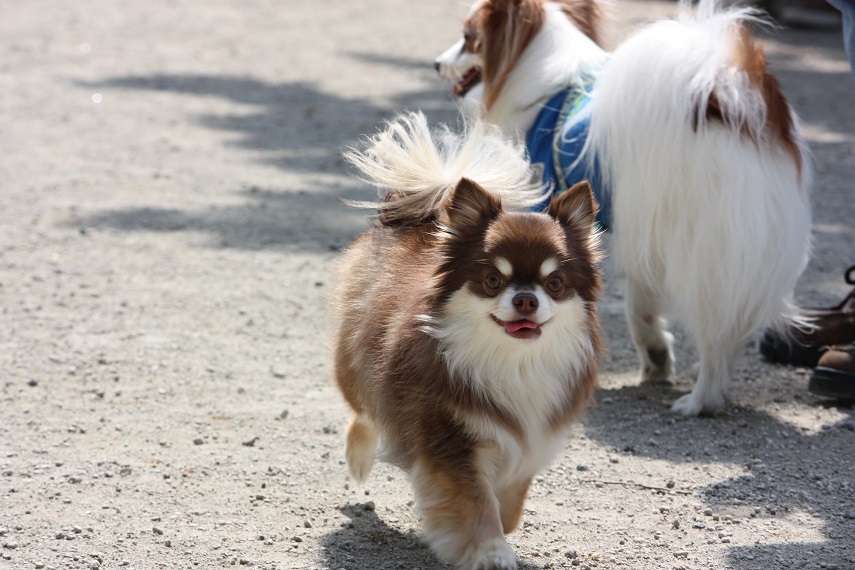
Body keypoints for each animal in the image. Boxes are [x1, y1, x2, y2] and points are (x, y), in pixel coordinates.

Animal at [332, 112, 600, 568]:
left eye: (555, 283)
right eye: (493, 280)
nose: (526, 299)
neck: (513, 360)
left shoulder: (529, 437)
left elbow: (511, 500)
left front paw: (502, 524)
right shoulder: (451, 437)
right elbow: (475, 501)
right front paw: (491, 551)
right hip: (356, 362)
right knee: (363, 411)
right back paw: (359, 460)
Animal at [438, 1, 812, 418]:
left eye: (468, 36)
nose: (437, 64)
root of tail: (730, 99)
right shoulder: (639, 227)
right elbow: (640, 303)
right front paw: (656, 358)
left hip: (702, 250)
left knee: (716, 332)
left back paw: (701, 400)